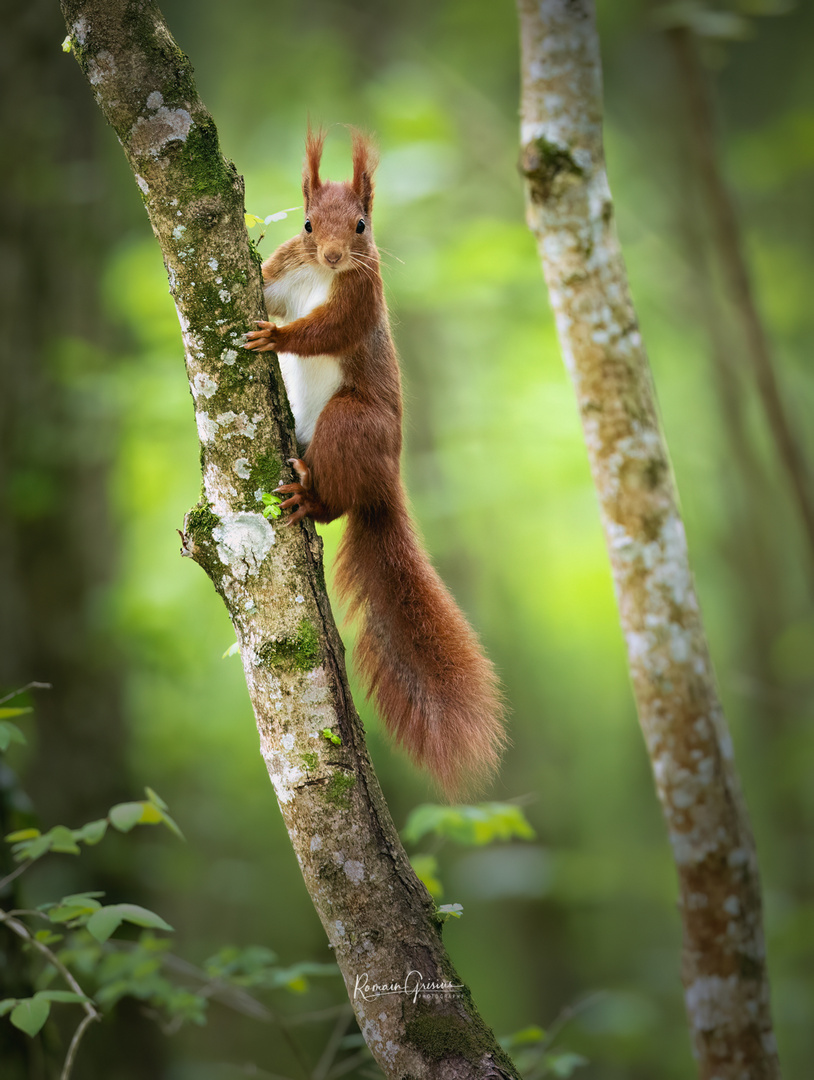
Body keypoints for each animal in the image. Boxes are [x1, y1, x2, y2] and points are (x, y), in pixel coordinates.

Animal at [243, 132, 505, 794]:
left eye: (361, 225)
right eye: (308, 223)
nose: (336, 254)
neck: (320, 273)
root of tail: (385, 482)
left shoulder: (361, 297)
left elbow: (328, 330)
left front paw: (278, 339)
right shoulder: (285, 269)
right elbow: (265, 284)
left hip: (351, 424)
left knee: (334, 507)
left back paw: (309, 498)